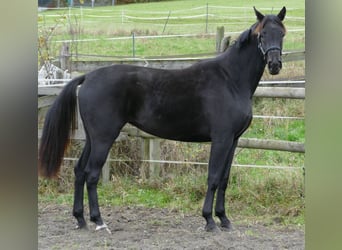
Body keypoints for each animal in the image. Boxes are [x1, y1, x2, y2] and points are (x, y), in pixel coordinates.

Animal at [39, 6, 286, 232]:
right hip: (103, 138)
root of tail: (88, 76)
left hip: (92, 138)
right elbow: (214, 177)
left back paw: (80, 219)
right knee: (91, 174)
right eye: (262, 34)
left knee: (80, 171)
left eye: (282, 34)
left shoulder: (233, 140)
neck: (230, 79)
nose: (274, 65)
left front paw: (224, 219)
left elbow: (224, 179)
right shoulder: (221, 139)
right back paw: (99, 221)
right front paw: (209, 220)